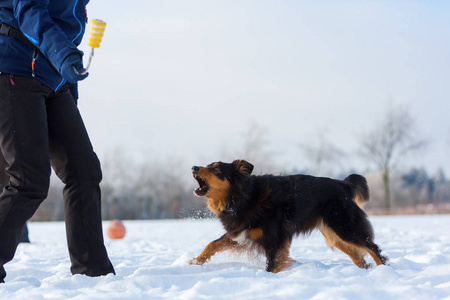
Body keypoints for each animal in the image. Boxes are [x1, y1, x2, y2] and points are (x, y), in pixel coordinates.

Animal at [188, 161, 388, 274]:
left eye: (216, 169)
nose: (193, 167)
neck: (243, 196)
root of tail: (343, 184)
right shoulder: (241, 232)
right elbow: (213, 244)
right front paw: (196, 261)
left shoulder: (274, 238)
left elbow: (272, 264)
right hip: (334, 234)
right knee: (359, 257)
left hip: (345, 227)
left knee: (373, 247)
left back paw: (384, 271)